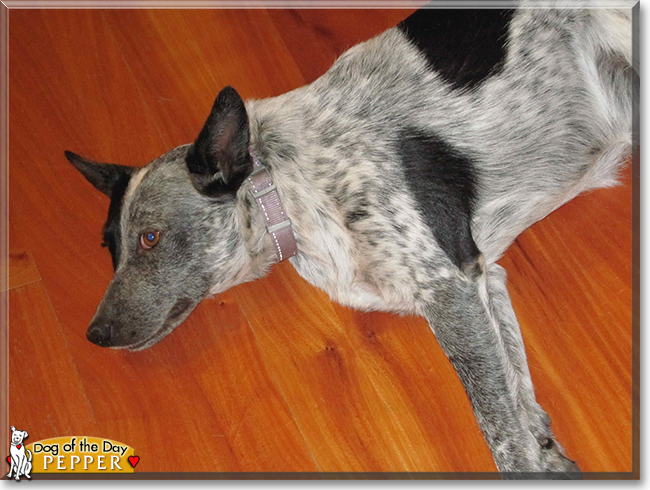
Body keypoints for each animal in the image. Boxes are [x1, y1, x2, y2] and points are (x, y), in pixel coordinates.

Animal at [62, 4, 632, 478]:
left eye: (151, 238)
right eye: (109, 248)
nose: (94, 335)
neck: (284, 184)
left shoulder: (448, 289)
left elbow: (498, 425)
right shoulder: (481, 274)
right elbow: (515, 391)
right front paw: (546, 448)